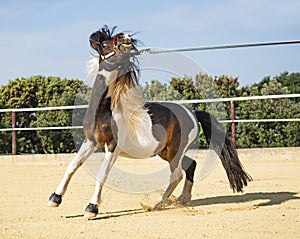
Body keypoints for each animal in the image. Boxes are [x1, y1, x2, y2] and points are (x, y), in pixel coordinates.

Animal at [48, 26, 251, 218]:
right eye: (105, 44)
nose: (125, 37)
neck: (104, 111)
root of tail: (192, 112)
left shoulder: (112, 147)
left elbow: (101, 174)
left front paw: (92, 208)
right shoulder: (90, 142)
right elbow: (72, 167)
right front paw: (55, 199)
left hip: (175, 151)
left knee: (176, 175)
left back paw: (159, 204)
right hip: (167, 152)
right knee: (190, 166)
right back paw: (182, 199)